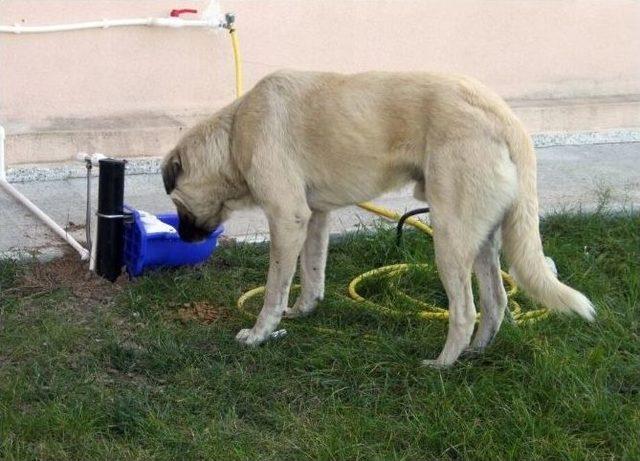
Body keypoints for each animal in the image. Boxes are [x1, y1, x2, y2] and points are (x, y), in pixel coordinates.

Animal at [161, 71, 596, 366]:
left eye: (178, 206)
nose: (183, 239)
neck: (235, 133)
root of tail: (507, 117)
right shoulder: (315, 218)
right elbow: (312, 275)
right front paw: (302, 311)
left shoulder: (287, 219)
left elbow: (273, 290)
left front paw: (259, 334)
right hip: (481, 237)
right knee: (497, 300)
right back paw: (475, 352)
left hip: (449, 238)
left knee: (465, 311)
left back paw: (443, 364)